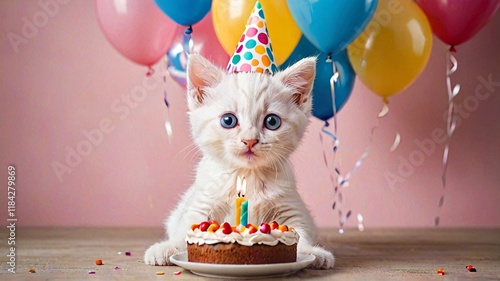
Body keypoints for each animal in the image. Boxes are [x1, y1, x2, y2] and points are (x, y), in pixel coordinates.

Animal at [144, 53, 332, 268]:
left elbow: (300, 232)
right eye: (228, 120)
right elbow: (185, 230)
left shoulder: (291, 207)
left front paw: (313, 252)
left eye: (272, 121)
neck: (246, 175)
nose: (250, 140)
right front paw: (166, 248)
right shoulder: (201, 203)